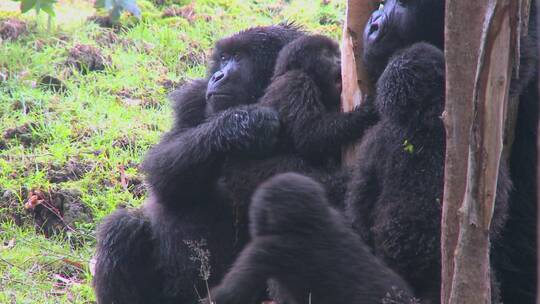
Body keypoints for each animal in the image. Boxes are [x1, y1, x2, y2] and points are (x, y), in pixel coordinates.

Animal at [93, 25, 304, 304]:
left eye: (240, 57)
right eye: (224, 58)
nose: (218, 75)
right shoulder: (193, 96)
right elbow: (162, 171)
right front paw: (239, 124)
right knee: (123, 227)